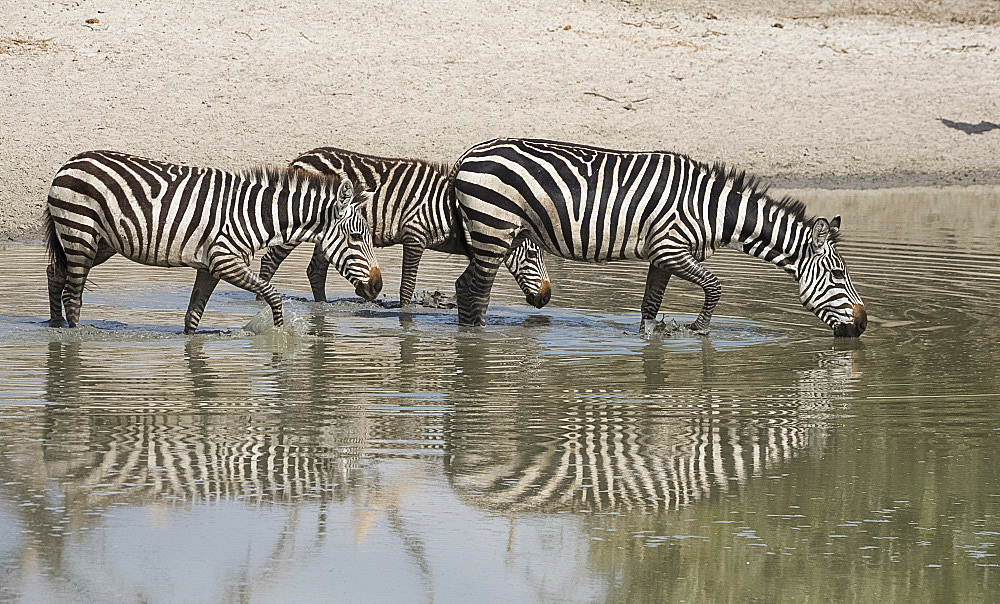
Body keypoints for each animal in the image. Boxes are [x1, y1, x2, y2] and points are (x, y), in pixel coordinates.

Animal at [42, 149, 382, 332]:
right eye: (356, 237)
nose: (378, 286)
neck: (255, 214)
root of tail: (70, 162)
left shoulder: (208, 266)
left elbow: (193, 315)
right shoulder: (224, 259)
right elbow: (272, 294)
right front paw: (279, 334)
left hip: (101, 243)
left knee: (54, 274)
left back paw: (55, 327)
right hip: (81, 234)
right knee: (73, 295)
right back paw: (74, 338)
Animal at [258, 146, 556, 306]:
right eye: (533, 255)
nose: (546, 299)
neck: (453, 210)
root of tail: (302, 157)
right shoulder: (415, 235)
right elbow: (407, 285)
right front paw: (404, 317)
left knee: (315, 271)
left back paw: (322, 308)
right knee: (270, 260)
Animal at [454, 136, 868, 336]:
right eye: (838, 275)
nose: (863, 325)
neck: (713, 210)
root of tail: (467, 154)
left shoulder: (661, 257)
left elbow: (649, 310)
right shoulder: (671, 250)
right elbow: (715, 287)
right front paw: (699, 329)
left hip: (494, 232)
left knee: (465, 287)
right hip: (493, 228)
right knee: (475, 290)